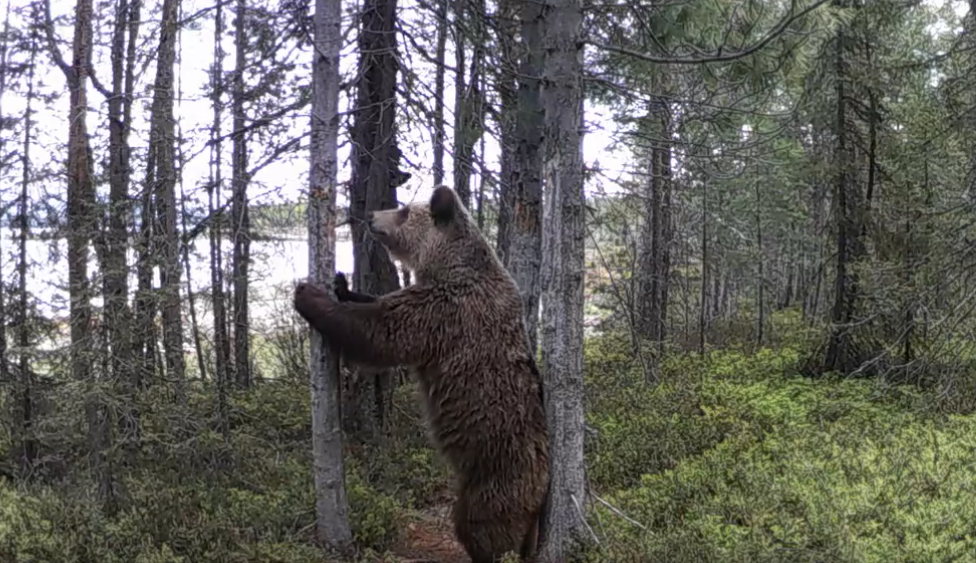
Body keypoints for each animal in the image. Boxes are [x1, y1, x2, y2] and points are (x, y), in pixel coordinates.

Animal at [293, 185, 549, 563]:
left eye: (402, 211)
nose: (370, 216)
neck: (447, 263)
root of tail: (541, 489)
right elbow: (379, 307)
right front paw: (342, 285)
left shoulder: (445, 312)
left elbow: (381, 332)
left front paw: (309, 294)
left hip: (497, 473)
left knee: (481, 525)